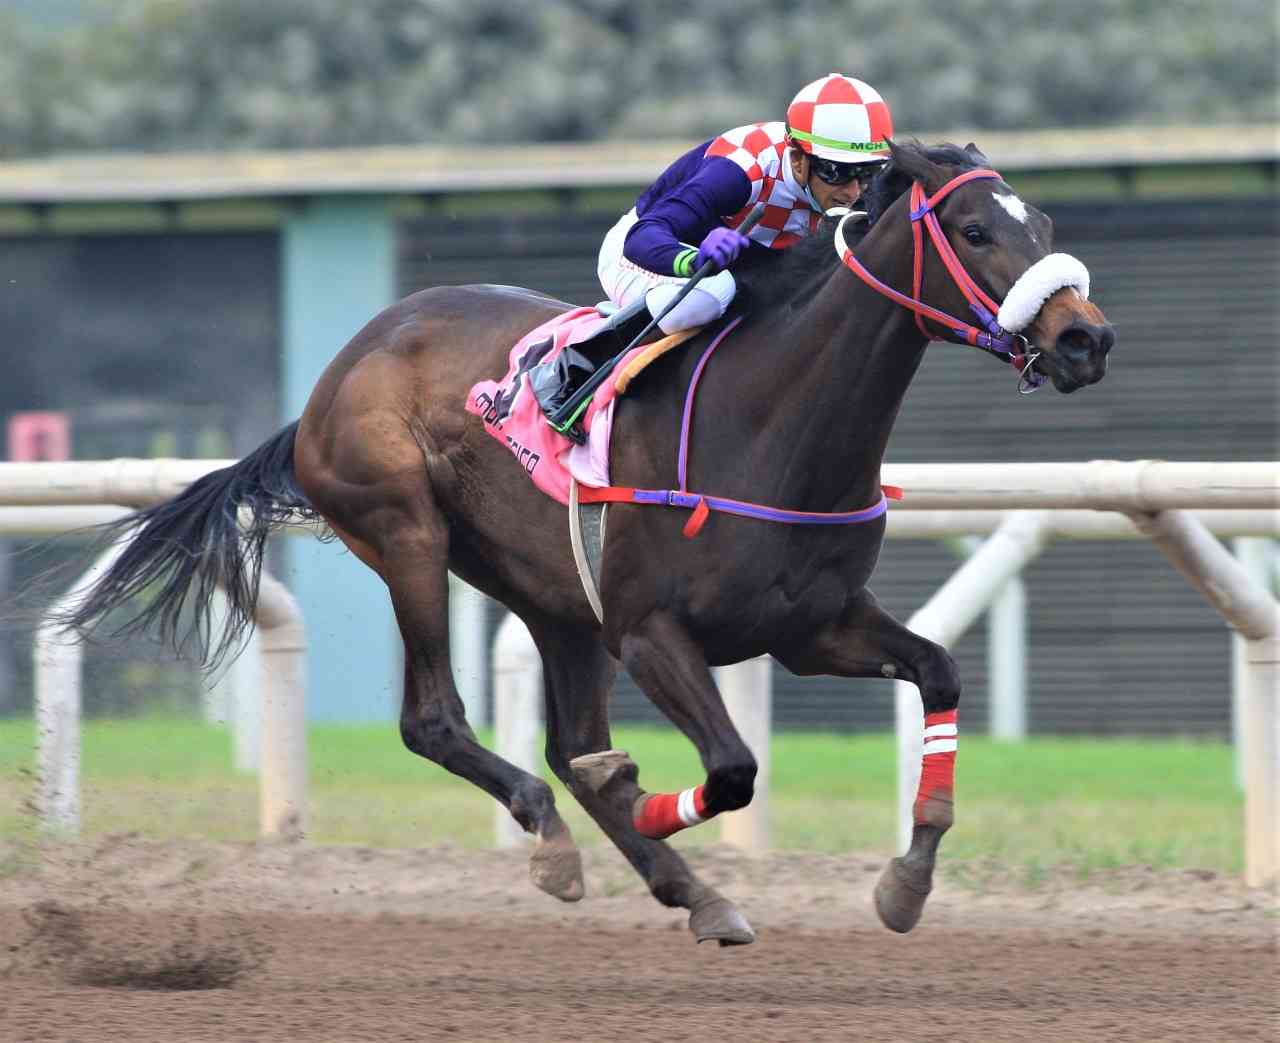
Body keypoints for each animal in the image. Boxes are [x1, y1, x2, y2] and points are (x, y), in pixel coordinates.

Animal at [55, 140, 1114, 946]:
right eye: (976, 232)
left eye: (1044, 226)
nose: (1085, 340)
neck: (771, 424)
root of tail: (331, 378)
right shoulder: (650, 630)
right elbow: (731, 769)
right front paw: (640, 794)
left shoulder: (813, 628)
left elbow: (938, 673)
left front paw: (907, 882)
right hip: (406, 531)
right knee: (440, 722)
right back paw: (565, 840)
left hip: (556, 601)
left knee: (565, 744)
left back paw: (690, 888)